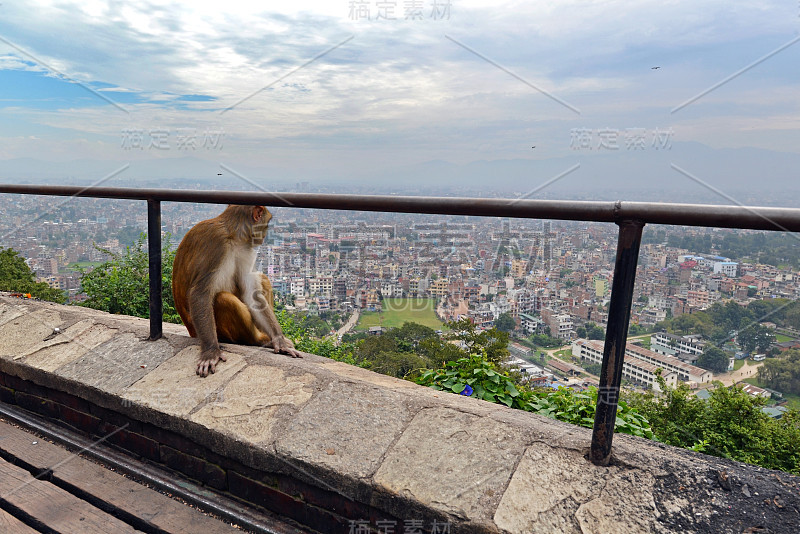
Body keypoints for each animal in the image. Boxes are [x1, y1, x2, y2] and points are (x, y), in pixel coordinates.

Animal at [173, 204, 302, 376]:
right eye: (267, 223)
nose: (264, 236)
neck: (233, 235)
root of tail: (190, 331)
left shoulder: (245, 249)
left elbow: (252, 295)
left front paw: (279, 341)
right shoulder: (217, 244)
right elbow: (200, 294)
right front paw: (211, 352)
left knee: (262, 279)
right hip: (220, 332)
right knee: (223, 299)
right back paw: (260, 340)